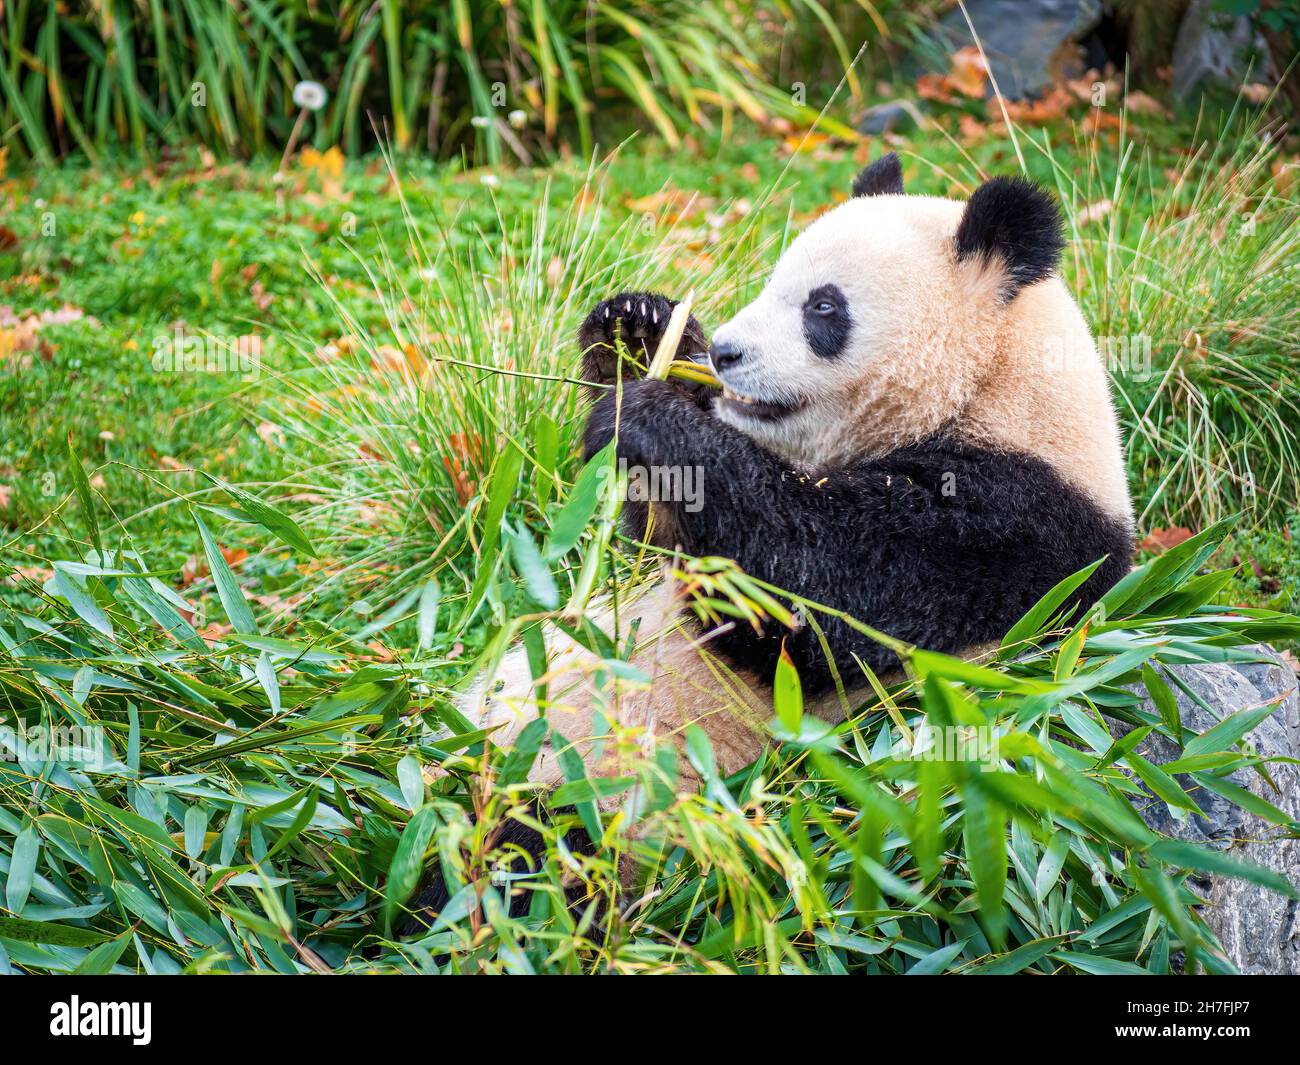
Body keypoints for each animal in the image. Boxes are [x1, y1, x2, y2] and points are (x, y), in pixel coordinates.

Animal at [403, 154, 1128, 931]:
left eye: (823, 308)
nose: (726, 353)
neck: (993, 392)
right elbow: (663, 541)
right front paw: (641, 332)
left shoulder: (1018, 533)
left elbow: (814, 608)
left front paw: (650, 417)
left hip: (619, 800)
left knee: (533, 857)